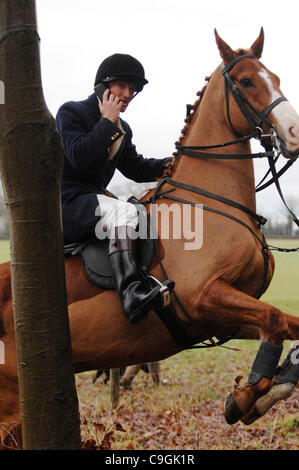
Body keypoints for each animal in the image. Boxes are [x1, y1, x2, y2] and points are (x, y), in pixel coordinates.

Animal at [0, 28, 299, 448]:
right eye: (246, 82)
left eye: (276, 78)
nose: (294, 134)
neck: (206, 201)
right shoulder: (206, 297)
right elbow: (274, 320)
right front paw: (248, 395)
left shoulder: (224, 314)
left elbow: (287, 325)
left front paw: (261, 392)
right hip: (9, 402)